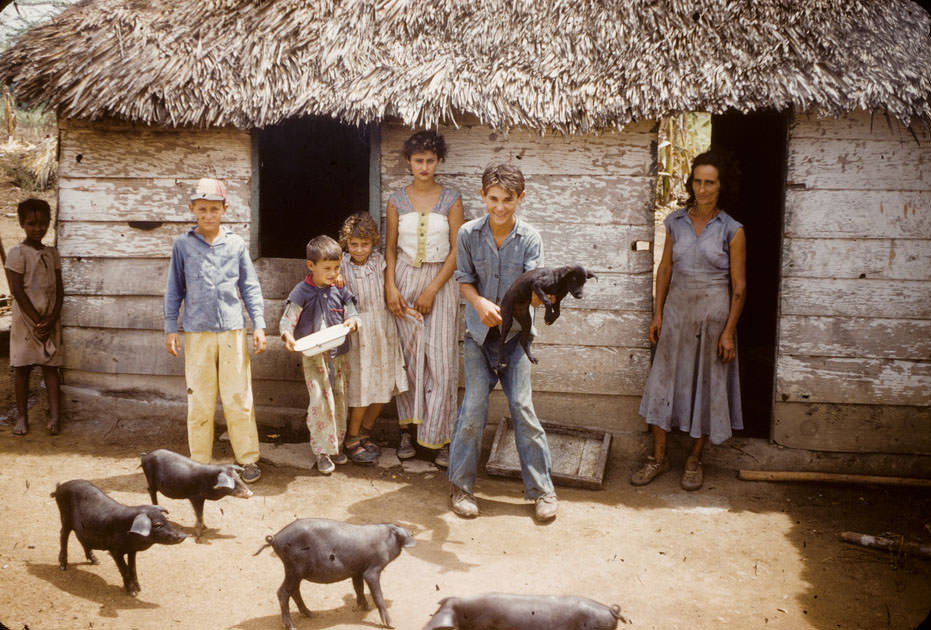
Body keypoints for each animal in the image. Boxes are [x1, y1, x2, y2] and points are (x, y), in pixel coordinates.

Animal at [53, 484, 188, 596]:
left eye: (166, 520)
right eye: (158, 525)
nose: (184, 535)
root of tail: (60, 487)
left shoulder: (132, 550)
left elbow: (132, 567)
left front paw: (139, 589)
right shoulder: (115, 550)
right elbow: (124, 569)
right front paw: (133, 593)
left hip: (82, 528)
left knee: (81, 538)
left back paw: (96, 561)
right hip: (65, 518)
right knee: (63, 535)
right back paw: (63, 567)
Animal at [255, 520, 416, 628]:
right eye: (405, 533)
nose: (413, 539)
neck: (386, 540)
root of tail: (275, 538)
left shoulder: (357, 570)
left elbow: (358, 587)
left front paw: (364, 607)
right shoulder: (372, 570)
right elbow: (377, 595)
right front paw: (391, 625)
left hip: (295, 571)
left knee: (294, 591)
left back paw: (312, 614)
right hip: (293, 568)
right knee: (282, 592)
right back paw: (292, 626)